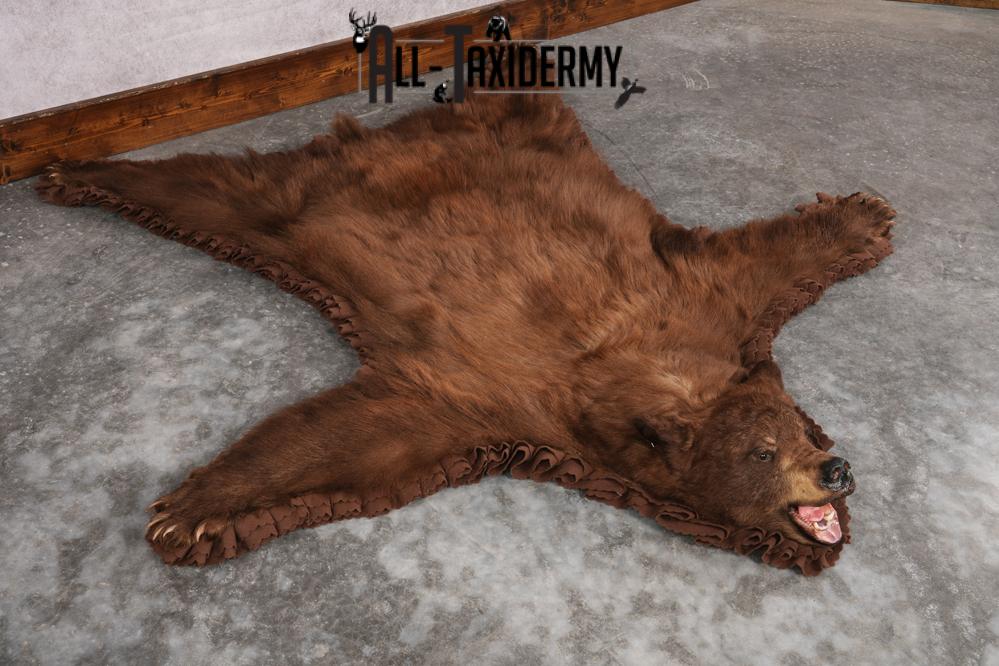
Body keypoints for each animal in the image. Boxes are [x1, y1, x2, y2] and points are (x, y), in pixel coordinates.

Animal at [34, 92, 896, 574]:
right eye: (762, 454)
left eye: (800, 432)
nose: (836, 469)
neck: (646, 376)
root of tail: (377, 134)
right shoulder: (484, 391)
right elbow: (344, 438)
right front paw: (197, 508)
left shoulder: (706, 299)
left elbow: (770, 254)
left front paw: (863, 215)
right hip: (287, 209)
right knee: (215, 187)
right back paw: (76, 170)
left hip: (533, 131)